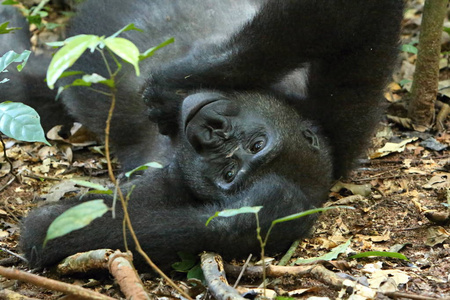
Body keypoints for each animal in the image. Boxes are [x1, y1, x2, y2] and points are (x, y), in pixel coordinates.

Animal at [0, 0, 400, 270]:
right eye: (257, 144)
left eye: (229, 171)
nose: (211, 133)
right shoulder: (338, 116)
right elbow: (351, 17)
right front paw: (185, 78)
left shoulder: (252, 202)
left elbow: (53, 229)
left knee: (23, 85)